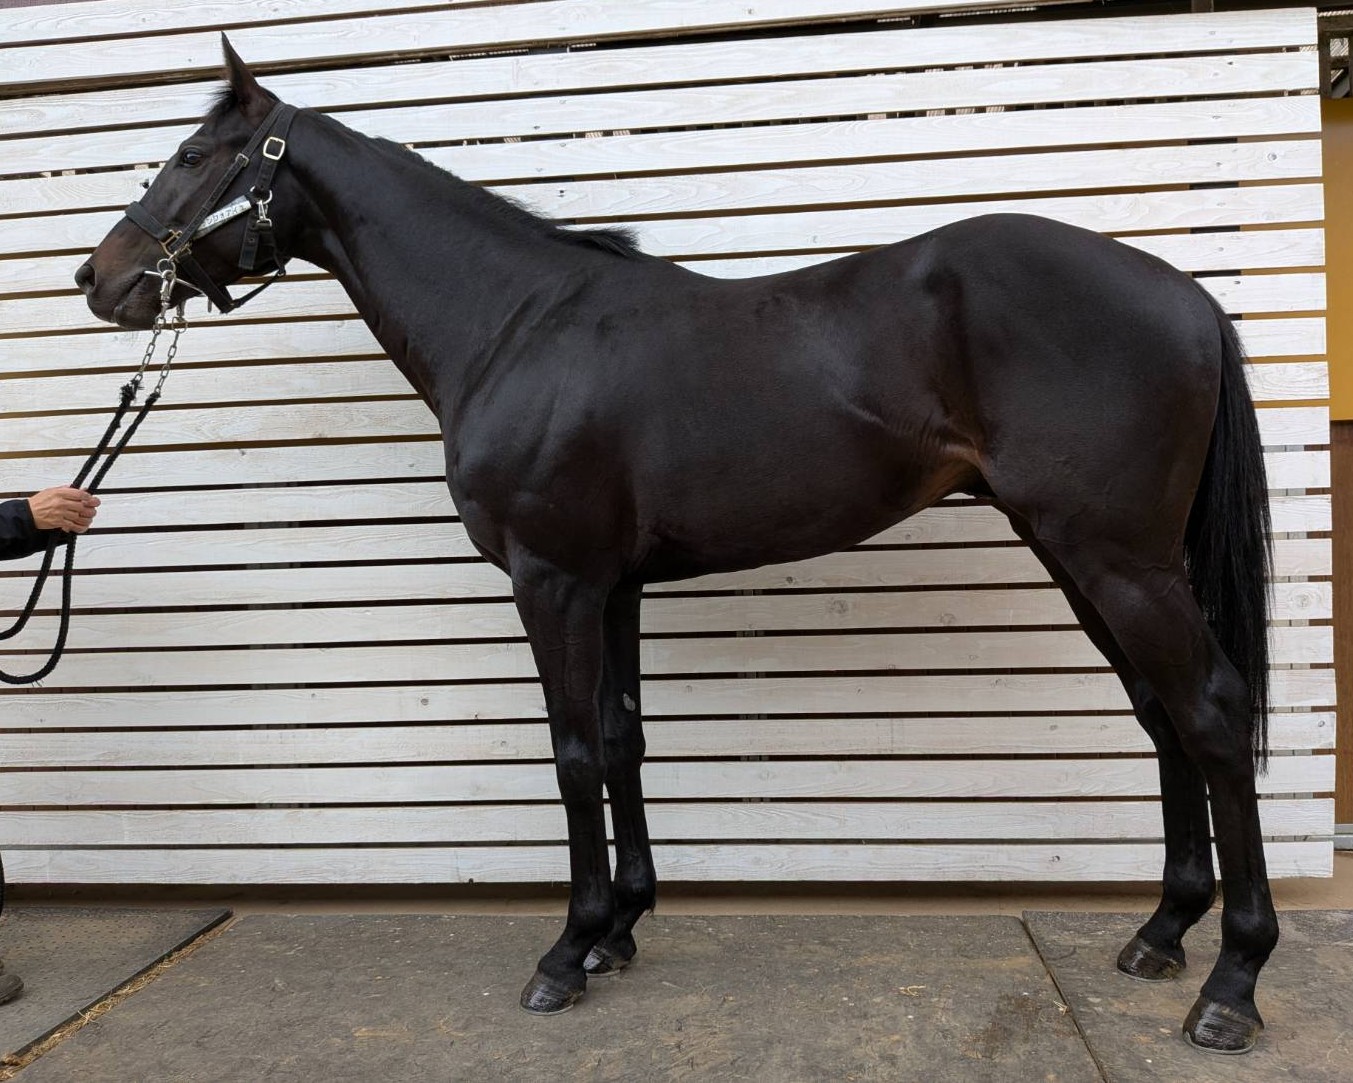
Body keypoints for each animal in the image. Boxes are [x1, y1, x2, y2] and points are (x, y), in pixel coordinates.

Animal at [77, 38, 1279, 1053]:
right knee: (1164, 714)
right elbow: (621, 741)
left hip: (1118, 559)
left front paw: (566, 951)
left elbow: (570, 753)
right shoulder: (613, 586)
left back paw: (1231, 985)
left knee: (1213, 712)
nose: (99, 279)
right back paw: (1160, 937)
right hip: (1079, 554)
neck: (516, 325)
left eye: (194, 157)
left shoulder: (552, 580)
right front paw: (620, 930)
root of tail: (1180, 293)